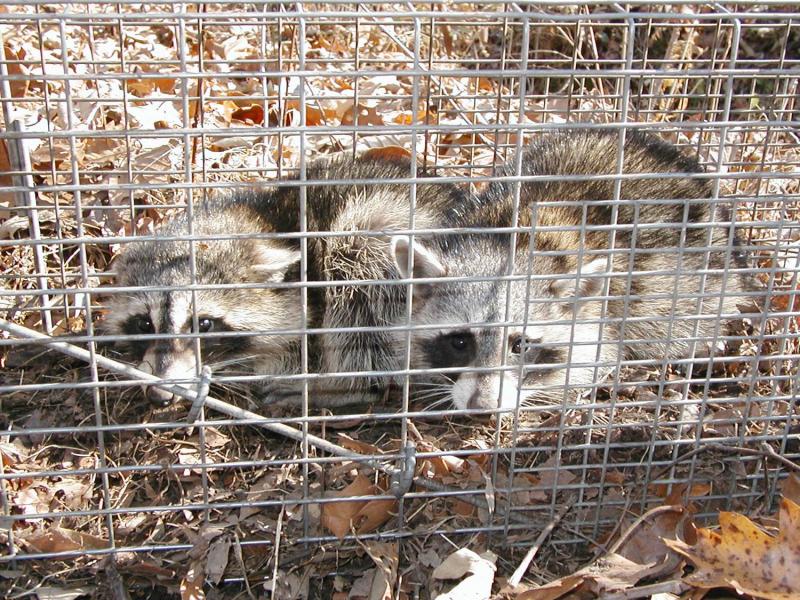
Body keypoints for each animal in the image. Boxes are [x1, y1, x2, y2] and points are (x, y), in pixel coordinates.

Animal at [105, 153, 471, 406]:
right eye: (144, 324)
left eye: (204, 325)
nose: (159, 396)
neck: (264, 221)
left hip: (380, 235)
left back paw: (340, 386)